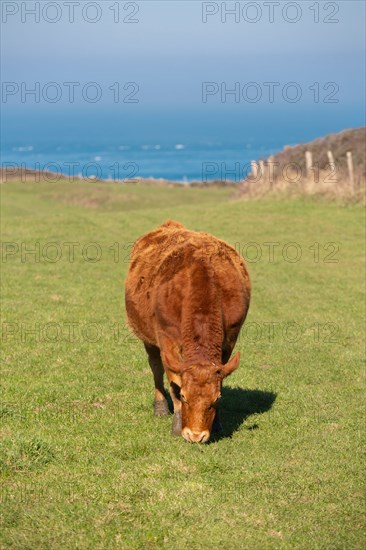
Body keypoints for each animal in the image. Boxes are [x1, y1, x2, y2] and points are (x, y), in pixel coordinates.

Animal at [124, 221, 250, 444]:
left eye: (216, 399)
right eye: (184, 396)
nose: (196, 435)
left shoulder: (229, 340)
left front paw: (217, 424)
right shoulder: (168, 342)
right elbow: (173, 381)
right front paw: (176, 424)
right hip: (148, 338)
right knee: (155, 368)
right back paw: (160, 407)